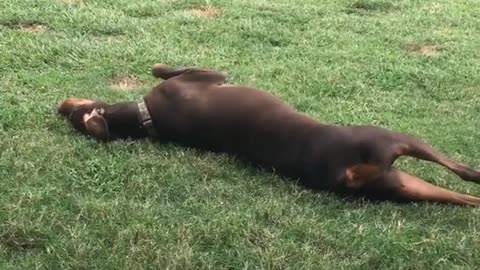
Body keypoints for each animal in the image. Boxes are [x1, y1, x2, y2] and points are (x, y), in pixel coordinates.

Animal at [58, 63, 480, 205]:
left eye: (72, 114)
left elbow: (155, 67)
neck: (145, 117)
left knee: (466, 197)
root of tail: (346, 174)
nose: (57, 106)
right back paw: (476, 172)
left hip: (407, 186)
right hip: (392, 139)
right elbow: (162, 68)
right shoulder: (208, 74)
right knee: (462, 172)